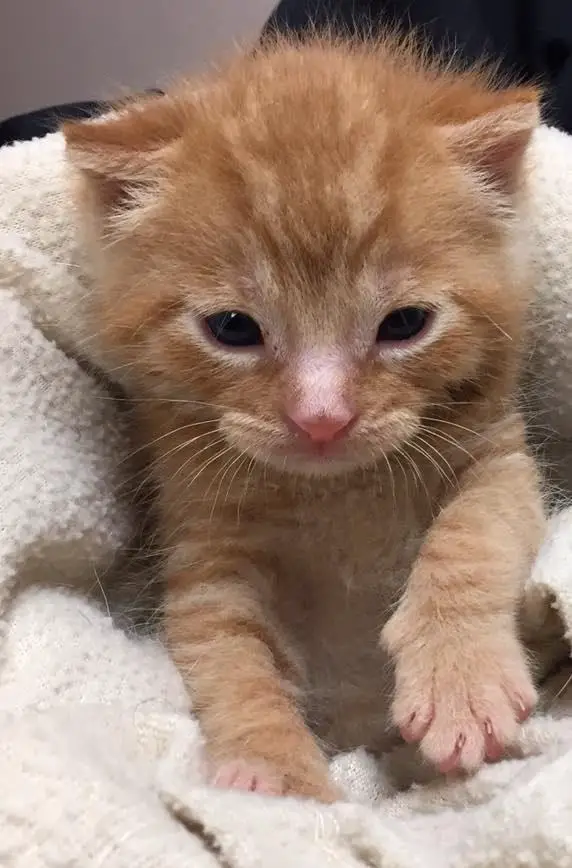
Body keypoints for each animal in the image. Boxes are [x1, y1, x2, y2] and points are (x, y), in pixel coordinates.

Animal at [65, 37, 548, 804]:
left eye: (405, 324)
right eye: (233, 328)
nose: (322, 418)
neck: (338, 493)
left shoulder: (497, 455)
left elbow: (474, 536)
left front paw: (459, 676)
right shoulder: (207, 547)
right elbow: (227, 655)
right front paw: (276, 778)